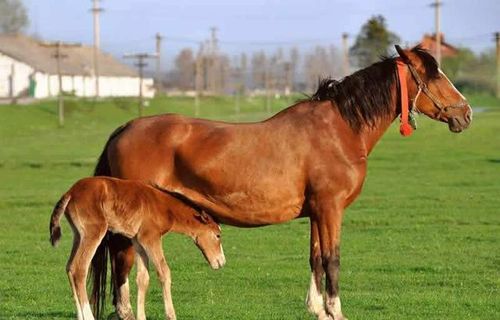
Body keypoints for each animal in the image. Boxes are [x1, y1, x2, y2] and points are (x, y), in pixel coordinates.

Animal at [48, 178, 225, 320]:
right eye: (218, 235)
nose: (221, 262)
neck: (164, 207)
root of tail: (70, 193)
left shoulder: (138, 242)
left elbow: (143, 278)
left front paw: (141, 316)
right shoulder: (151, 238)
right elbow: (164, 271)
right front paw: (171, 315)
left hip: (79, 235)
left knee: (70, 267)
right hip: (94, 232)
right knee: (80, 268)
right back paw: (89, 316)